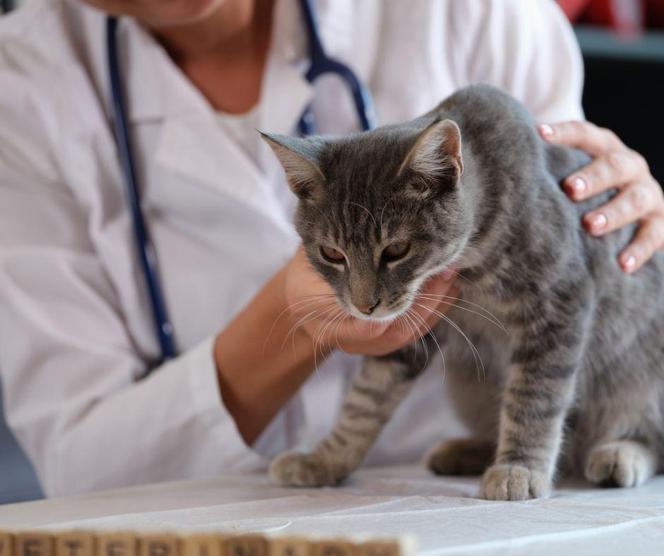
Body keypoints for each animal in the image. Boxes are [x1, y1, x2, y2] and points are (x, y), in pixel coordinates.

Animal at [260, 84, 664, 502]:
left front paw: (519, 467)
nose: (364, 306)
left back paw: (620, 453)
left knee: (648, 434)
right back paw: (466, 451)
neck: (471, 263)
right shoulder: (410, 332)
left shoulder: (559, 301)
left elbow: (534, 397)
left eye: (396, 250)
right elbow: (365, 400)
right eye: (331, 254)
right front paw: (325, 459)